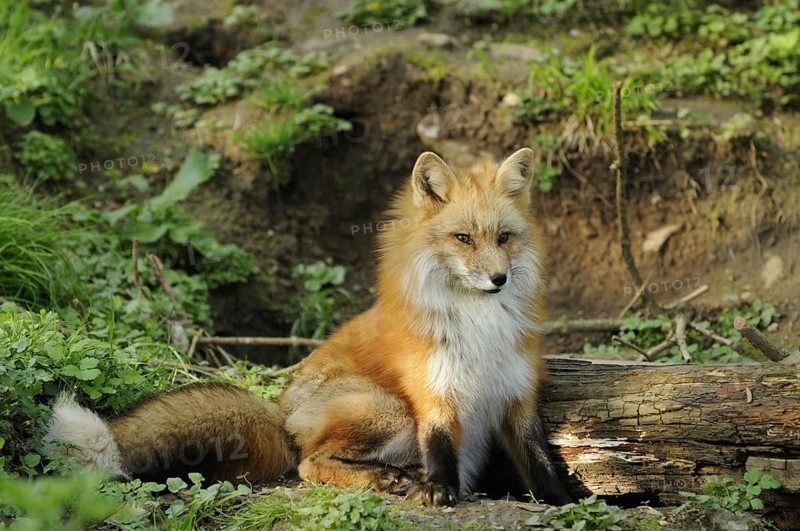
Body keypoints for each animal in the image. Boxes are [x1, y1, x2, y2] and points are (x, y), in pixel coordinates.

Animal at [45, 147, 571, 506]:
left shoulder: (517, 394)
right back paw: (383, 479)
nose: (499, 279)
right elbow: (440, 448)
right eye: (463, 238)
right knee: (308, 463)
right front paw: (439, 489)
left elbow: (540, 461)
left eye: (504, 238)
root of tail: (280, 413)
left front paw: (565, 501)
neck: (481, 329)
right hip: (388, 410)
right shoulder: (434, 393)